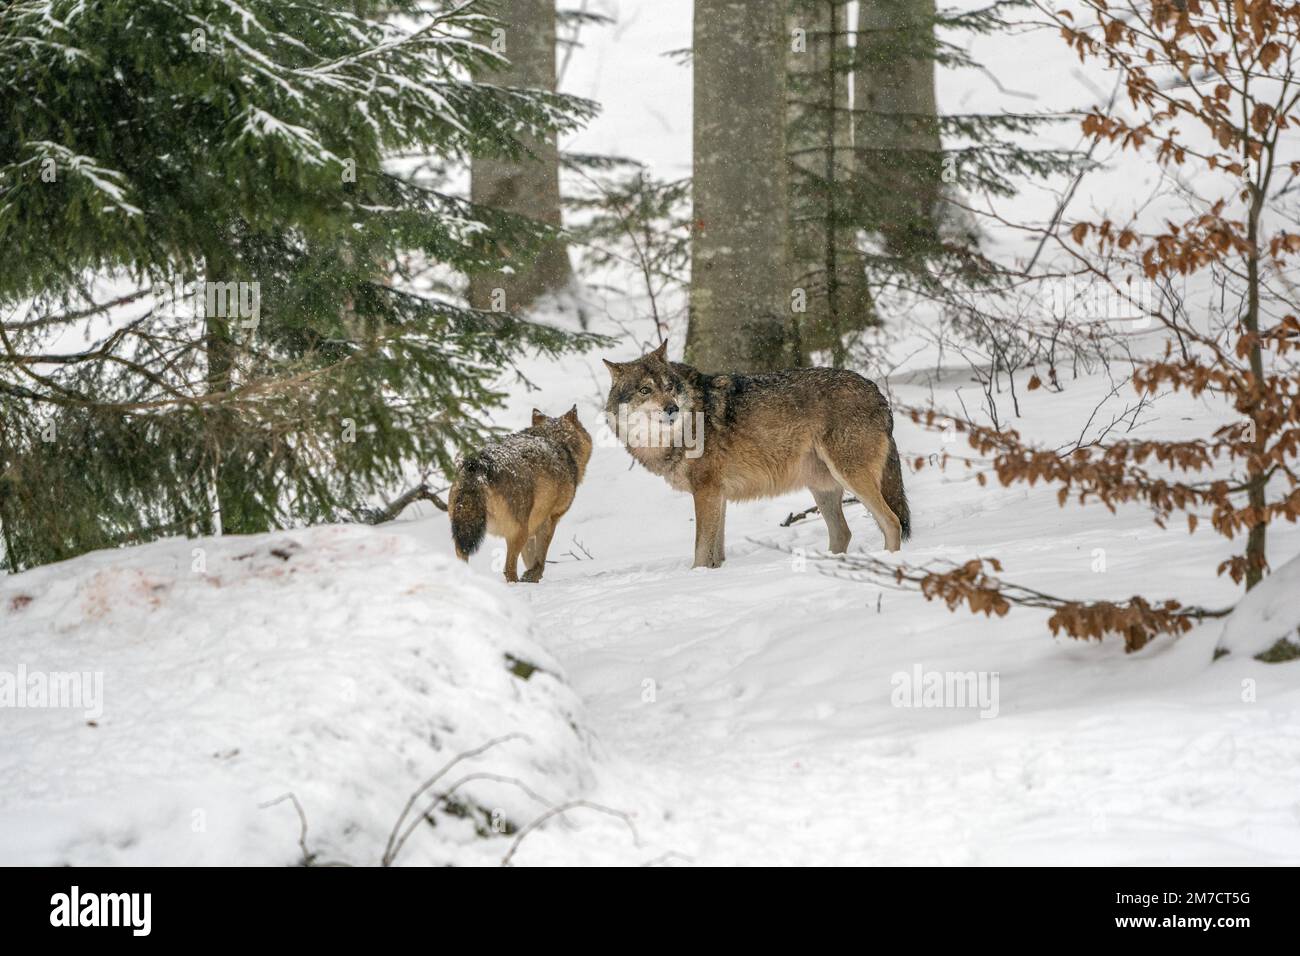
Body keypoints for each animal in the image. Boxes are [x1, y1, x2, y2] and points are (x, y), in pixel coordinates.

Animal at [447, 405, 590, 582]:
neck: (558, 442)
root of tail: (478, 461)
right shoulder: (550, 520)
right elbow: (540, 560)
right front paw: (532, 576)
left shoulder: (532, 528)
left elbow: (530, 559)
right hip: (518, 532)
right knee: (508, 568)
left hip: (464, 531)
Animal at [603, 343, 909, 567]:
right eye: (645, 390)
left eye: (669, 387)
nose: (671, 408)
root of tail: (878, 392)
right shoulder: (717, 495)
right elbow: (716, 552)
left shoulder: (706, 492)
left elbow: (701, 550)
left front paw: (697, 576)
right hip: (822, 488)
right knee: (842, 533)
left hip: (850, 477)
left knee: (892, 522)